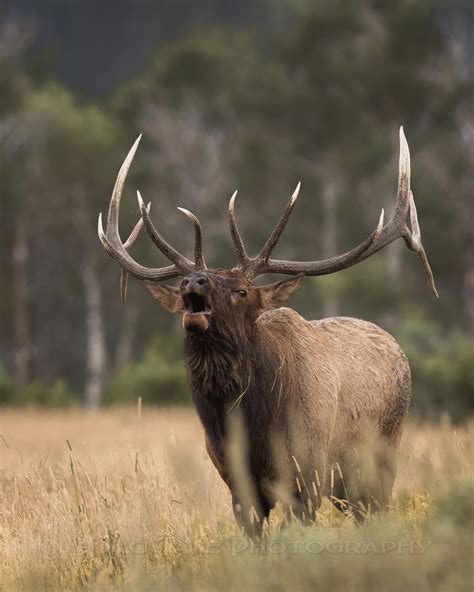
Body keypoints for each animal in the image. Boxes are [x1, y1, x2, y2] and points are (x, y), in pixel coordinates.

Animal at [98, 127, 438, 536]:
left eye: (242, 290)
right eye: (184, 288)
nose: (192, 281)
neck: (250, 427)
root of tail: (397, 348)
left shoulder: (307, 478)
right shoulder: (236, 485)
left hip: (382, 455)